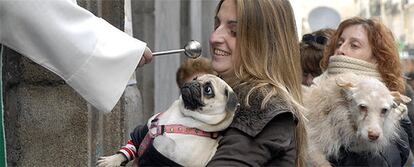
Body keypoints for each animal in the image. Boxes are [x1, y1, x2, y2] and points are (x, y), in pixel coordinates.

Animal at [96, 74, 238, 167]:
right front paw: (111, 161)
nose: (192, 83)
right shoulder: (145, 132)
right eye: (195, 78)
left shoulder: (163, 159)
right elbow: (130, 147)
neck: (184, 116)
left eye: (208, 90)